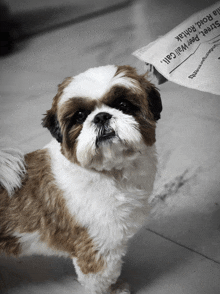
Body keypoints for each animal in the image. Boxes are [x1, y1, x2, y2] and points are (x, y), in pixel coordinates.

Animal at [0, 65, 162, 294]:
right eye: (79, 116)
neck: (109, 173)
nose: (101, 116)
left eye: (123, 105)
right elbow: (100, 281)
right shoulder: (96, 248)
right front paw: (114, 289)